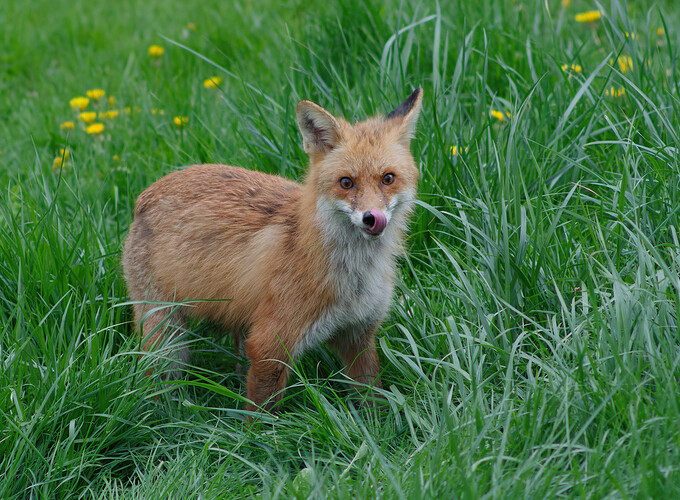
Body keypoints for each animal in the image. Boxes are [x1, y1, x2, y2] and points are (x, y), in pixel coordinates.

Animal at [120, 87, 422, 414]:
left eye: (388, 178)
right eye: (346, 183)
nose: (372, 217)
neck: (353, 276)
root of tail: (146, 193)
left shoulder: (359, 333)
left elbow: (372, 396)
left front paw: (379, 422)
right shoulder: (270, 343)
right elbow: (263, 415)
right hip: (166, 337)